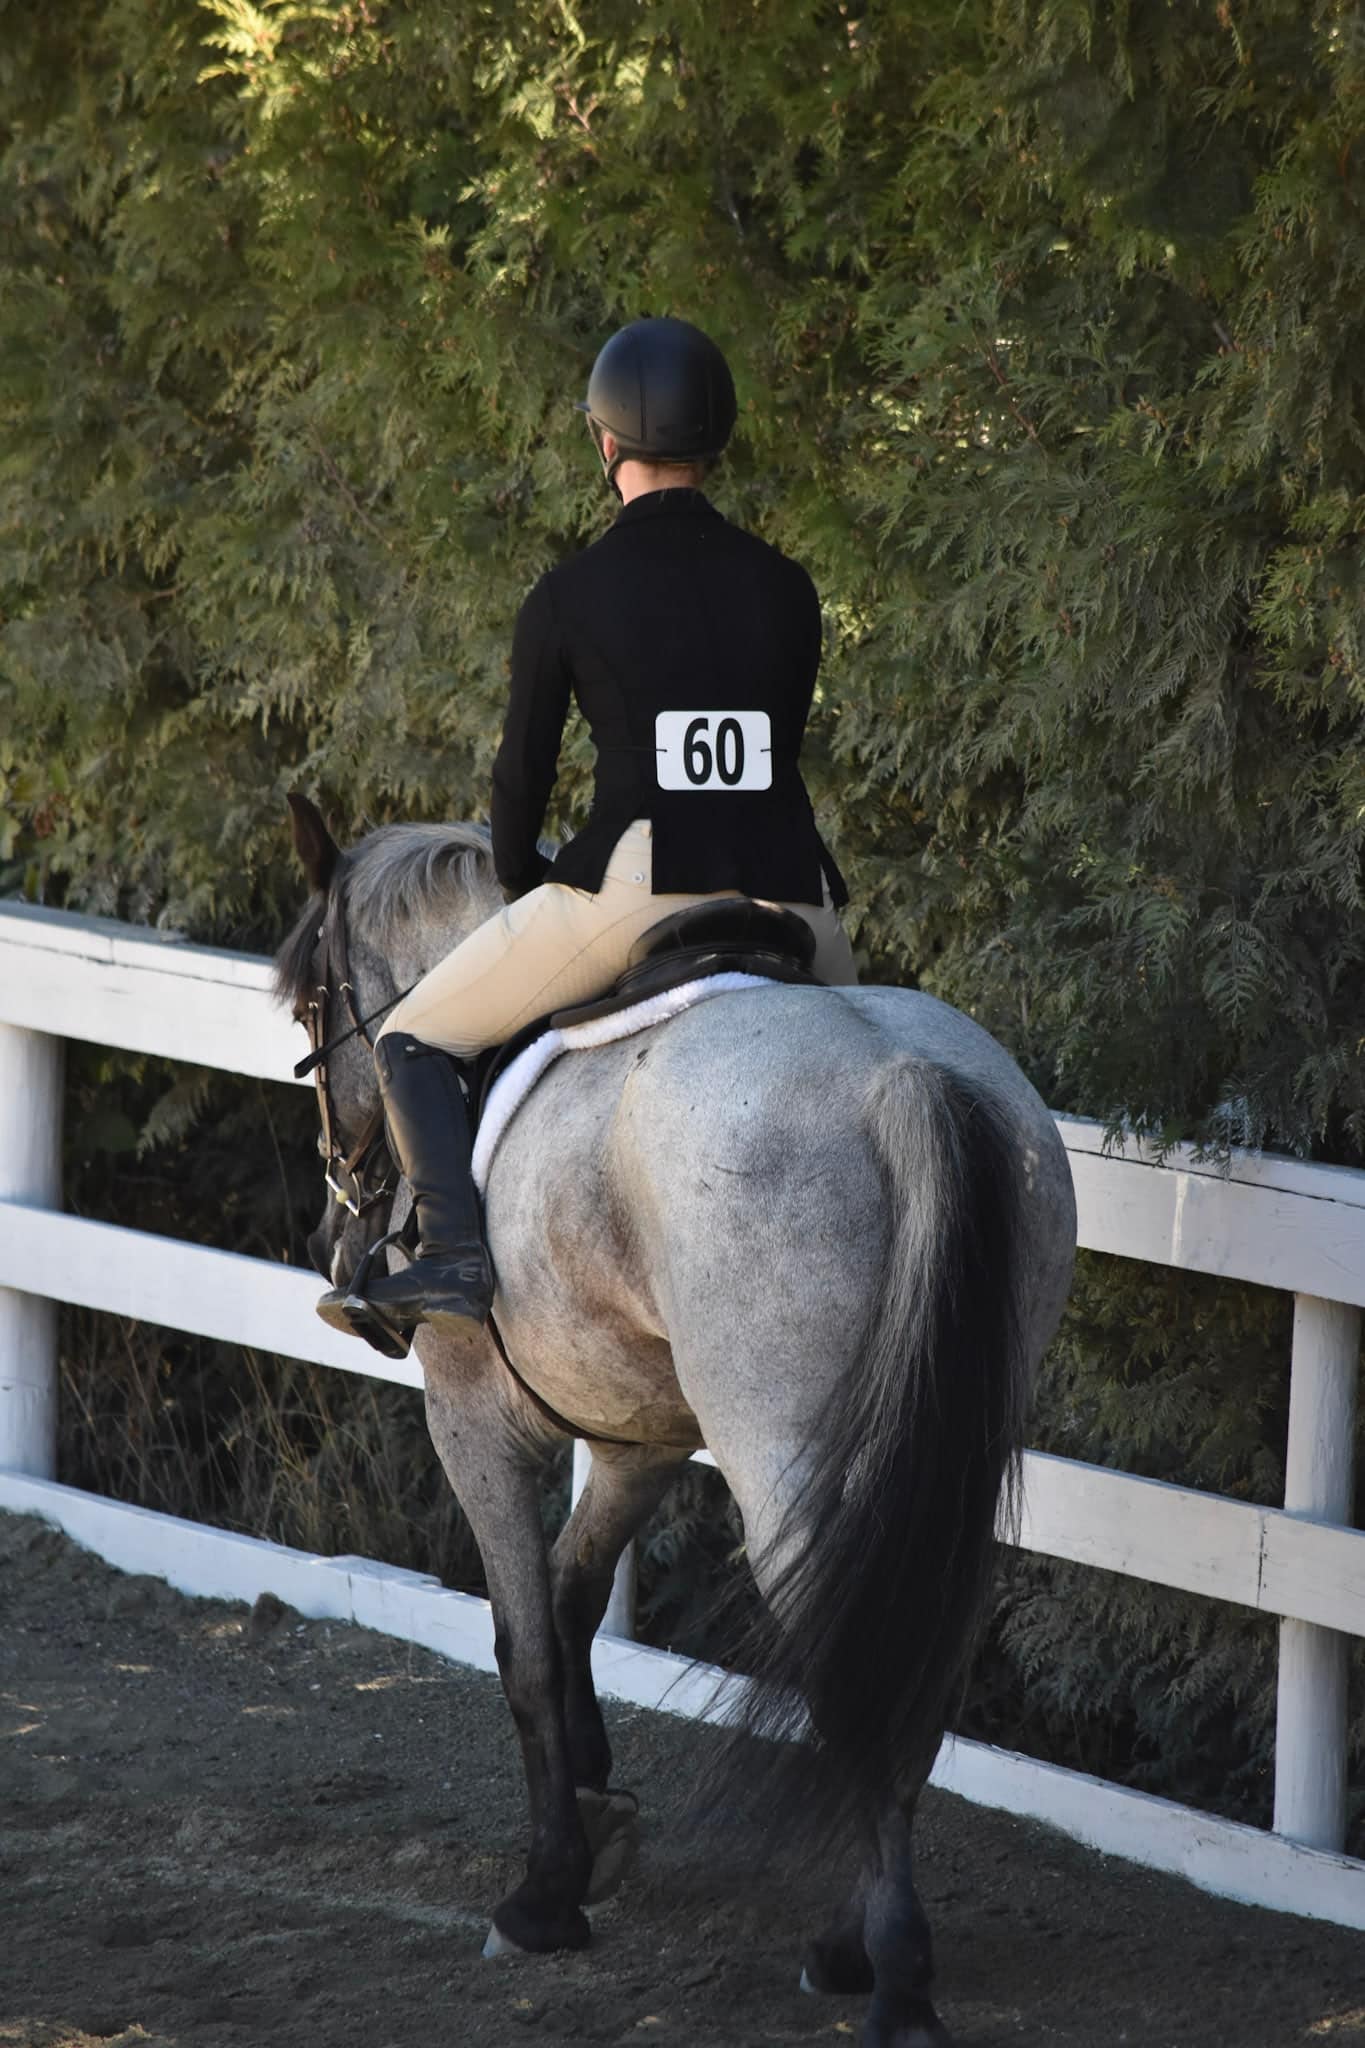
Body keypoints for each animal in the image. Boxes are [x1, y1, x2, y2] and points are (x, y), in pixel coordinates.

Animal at [275, 794, 1077, 2048]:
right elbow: (572, 1593)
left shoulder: (475, 1418)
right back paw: (855, 1941)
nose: (333, 1234)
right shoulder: (639, 1430)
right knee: (910, 1654)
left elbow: (524, 1644)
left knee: (853, 1664)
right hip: (943, 1452)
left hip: (792, 1465)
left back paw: (893, 1978)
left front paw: (546, 1890)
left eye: (314, 1004)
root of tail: (899, 1077)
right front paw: (596, 1807)